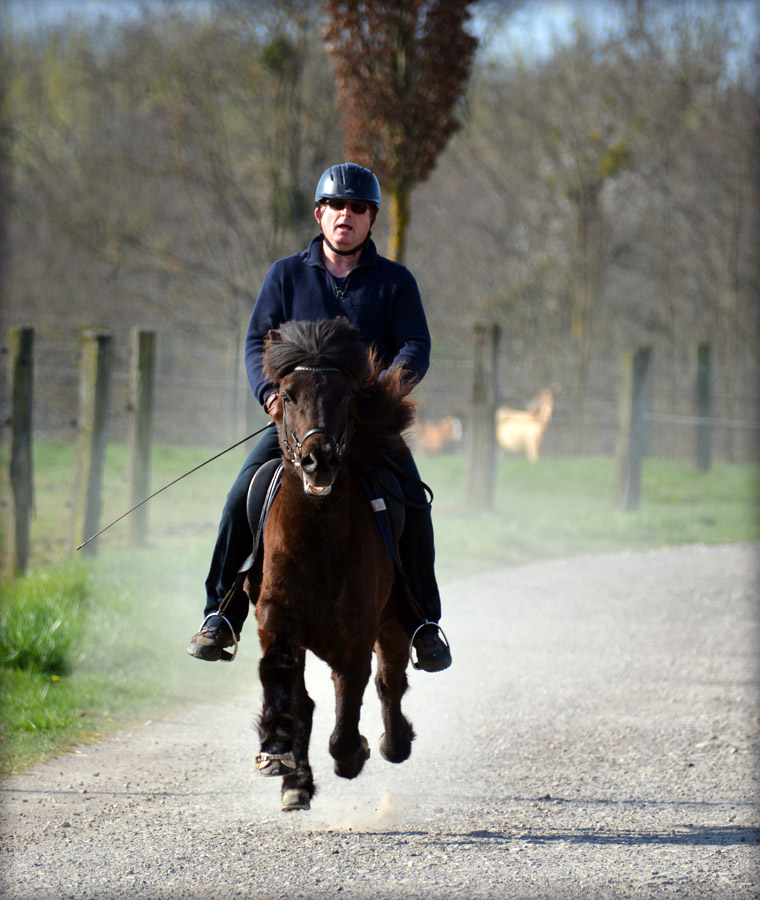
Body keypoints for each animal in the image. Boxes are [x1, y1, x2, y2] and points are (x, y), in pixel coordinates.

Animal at [245, 314, 416, 808]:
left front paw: (354, 753)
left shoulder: (357, 630)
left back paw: (393, 743)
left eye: (344, 396)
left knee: (390, 680)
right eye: (287, 395)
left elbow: (352, 694)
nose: (317, 460)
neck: (318, 535)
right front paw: (280, 756)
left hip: (394, 620)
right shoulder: (278, 617)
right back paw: (297, 782)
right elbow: (284, 683)